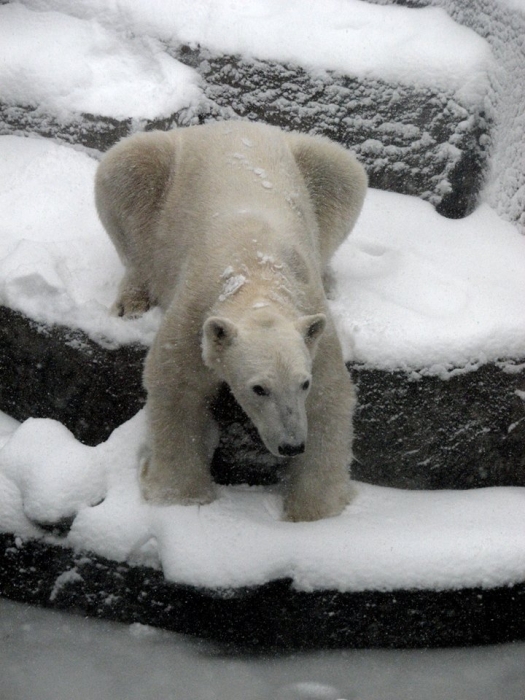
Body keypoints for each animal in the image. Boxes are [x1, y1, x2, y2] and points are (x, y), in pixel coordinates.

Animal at [97, 120, 368, 520]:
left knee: (343, 173)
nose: (291, 445)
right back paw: (132, 301)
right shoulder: (196, 310)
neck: (256, 274)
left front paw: (313, 511)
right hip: (160, 182)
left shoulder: (311, 316)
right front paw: (181, 497)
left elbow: (330, 399)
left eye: (302, 383)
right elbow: (176, 389)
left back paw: (331, 276)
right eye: (259, 388)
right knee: (124, 171)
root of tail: (225, 123)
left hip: (309, 166)